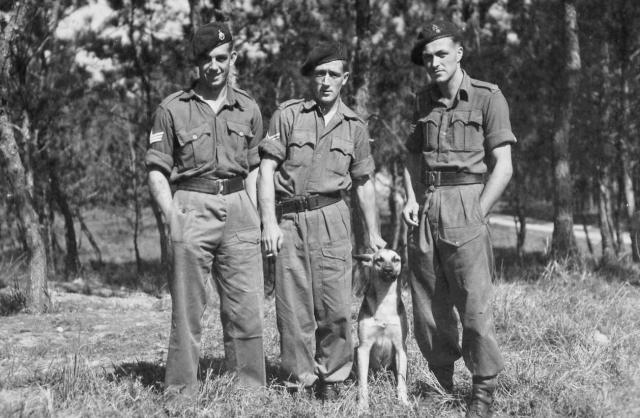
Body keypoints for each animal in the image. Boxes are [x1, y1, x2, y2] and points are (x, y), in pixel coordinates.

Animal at [356, 248, 410, 412]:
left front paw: (403, 401)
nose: (388, 270)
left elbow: (401, 381)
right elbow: (362, 382)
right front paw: (363, 405)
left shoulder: (400, 348)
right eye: (379, 260)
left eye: (396, 259)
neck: (384, 302)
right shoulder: (363, 348)